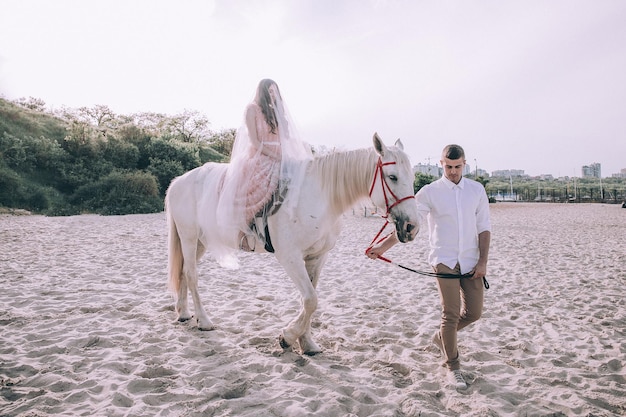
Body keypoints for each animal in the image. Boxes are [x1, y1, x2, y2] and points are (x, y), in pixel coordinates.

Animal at [166, 134, 416, 354]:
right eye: (392, 177)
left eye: (412, 178)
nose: (411, 226)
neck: (318, 196)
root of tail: (179, 181)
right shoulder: (290, 257)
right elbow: (311, 300)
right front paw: (287, 337)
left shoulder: (317, 257)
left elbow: (310, 300)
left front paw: (306, 343)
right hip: (189, 237)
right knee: (191, 274)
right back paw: (204, 320)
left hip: (201, 241)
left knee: (183, 272)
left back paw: (184, 313)